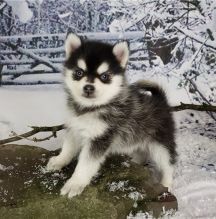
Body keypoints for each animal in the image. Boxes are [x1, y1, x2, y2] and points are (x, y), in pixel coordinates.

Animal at [46, 33, 176, 198]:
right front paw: (59, 161)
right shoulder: (74, 128)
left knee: (168, 165)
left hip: (160, 145)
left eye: (105, 76)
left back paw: (166, 184)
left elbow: (85, 164)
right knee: (142, 151)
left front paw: (75, 183)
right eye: (79, 72)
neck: (91, 108)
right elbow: (68, 147)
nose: (88, 87)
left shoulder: (100, 138)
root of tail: (160, 99)